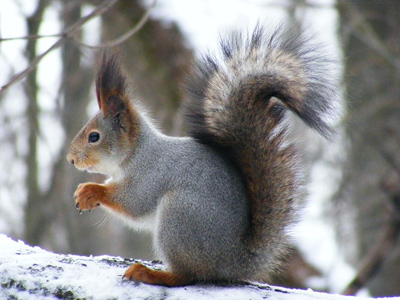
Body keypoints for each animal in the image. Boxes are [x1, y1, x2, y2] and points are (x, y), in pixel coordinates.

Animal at [67, 22, 340, 286]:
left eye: (94, 137)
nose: (71, 159)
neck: (136, 153)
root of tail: (234, 262)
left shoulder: (151, 174)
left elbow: (133, 202)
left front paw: (91, 191)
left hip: (181, 215)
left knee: (187, 275)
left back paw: (150, 274)